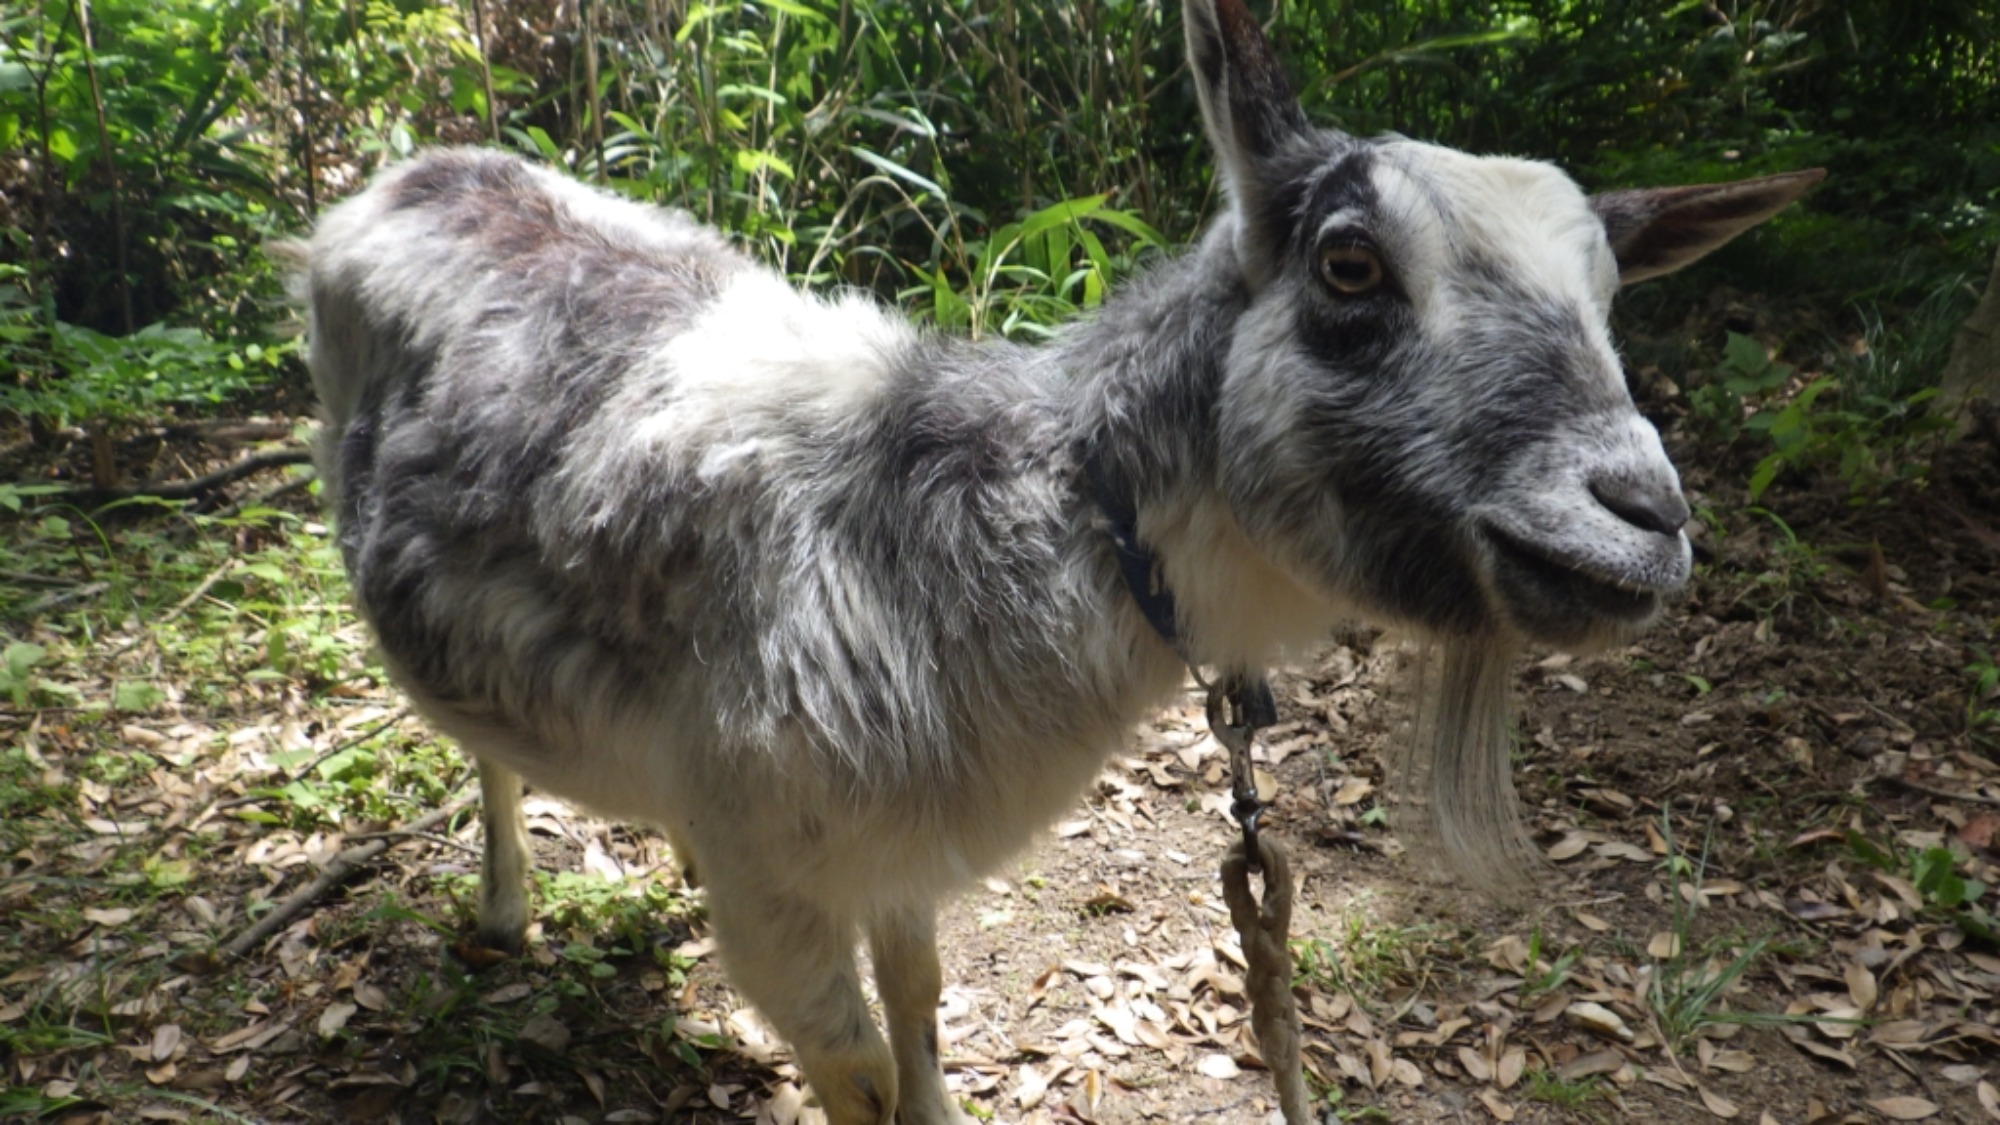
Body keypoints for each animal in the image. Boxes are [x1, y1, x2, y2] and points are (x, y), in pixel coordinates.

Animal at [300, 2, 1832, 1112]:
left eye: (1612, 294)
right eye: (1347, 263)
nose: (1640, 516)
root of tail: (415, 171)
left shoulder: (884, 851)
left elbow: (920, 1013)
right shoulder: (775, 883)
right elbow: (857, 1068)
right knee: (475, 741)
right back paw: (503, 911)